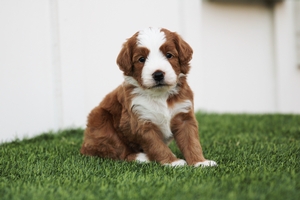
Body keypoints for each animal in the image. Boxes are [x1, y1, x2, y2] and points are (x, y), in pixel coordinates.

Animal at [79, 27, 216, 166]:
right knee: (118, 150)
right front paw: (172, 162)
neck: (160, 95)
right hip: (101, 121)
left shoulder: (184, 115)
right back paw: (142, 157)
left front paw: (200, 162)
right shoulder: (141, 121)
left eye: (169, 55)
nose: (158, 74)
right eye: (141, 59)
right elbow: (157, 145)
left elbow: (191, 142)